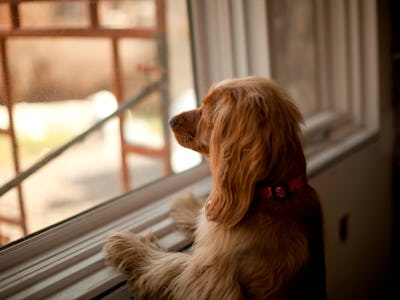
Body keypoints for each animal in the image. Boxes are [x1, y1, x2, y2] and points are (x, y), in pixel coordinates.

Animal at [103, 77, 324, 300]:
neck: (275, 192)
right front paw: (187, 205)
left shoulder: (210, 279)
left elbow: (169, 263)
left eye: (208, 109)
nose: (171, 120)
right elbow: (202, 221)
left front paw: (128, 244)